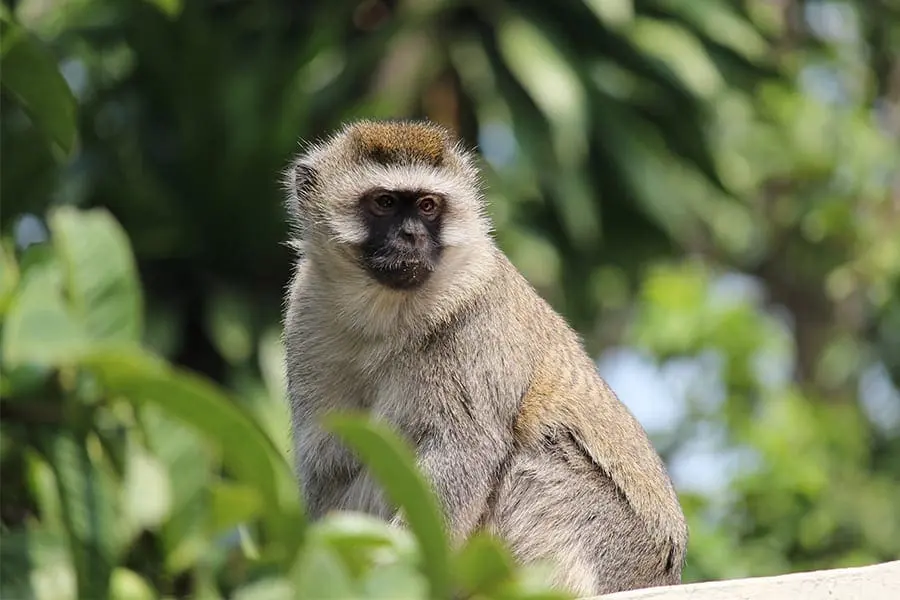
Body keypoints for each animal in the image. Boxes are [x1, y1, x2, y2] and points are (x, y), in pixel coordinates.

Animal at [282, 118, 688, 596]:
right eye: (384, 203)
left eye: (428, 206)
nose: (412, 236)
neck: (384, 313)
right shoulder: (306, 315)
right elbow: (328, 455)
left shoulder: (474, 316)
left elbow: (464, 450)